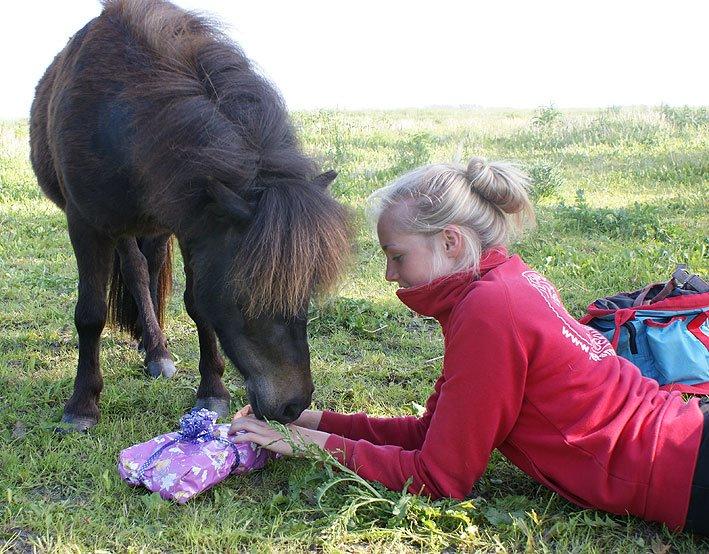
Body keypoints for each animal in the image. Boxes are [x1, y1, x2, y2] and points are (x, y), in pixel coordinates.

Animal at [30, 0, 352, 430]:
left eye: (306, 291)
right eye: (246, 296)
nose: (292, 406)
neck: (121, 114)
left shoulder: (193, 226)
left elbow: (198, 304)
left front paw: (212, 391)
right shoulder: (86, 226)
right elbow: (90, 314)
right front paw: (82, 406)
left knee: (147, 269)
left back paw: (155, 348)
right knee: (135, 270)